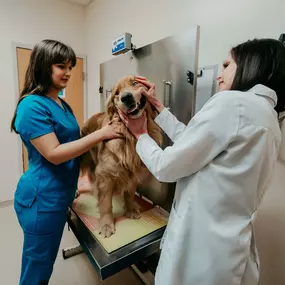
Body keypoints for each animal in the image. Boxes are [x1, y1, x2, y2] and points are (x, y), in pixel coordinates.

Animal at [79, 74, 162, 236]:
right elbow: (106, 204)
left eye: (135, 83)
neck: (129, 137)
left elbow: (129, 194)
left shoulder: (133, 173)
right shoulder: (105, 176)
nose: (126, 97)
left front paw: (130, 210)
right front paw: (106, 224)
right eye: (116, 93)